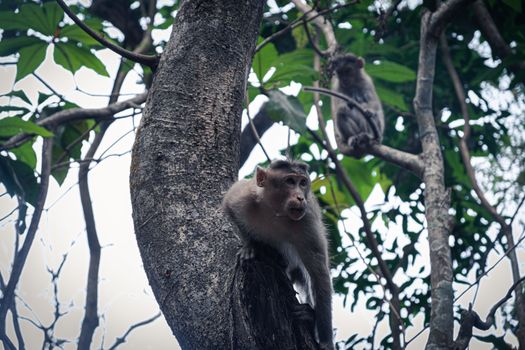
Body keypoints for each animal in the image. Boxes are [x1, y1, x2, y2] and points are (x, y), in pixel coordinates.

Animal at [223, 159, 334, 350]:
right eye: (290, 181)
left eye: (302, 183)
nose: (300, 197)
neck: (274, 211)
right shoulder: (243, 197)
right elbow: (228, 204)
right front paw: (250, 245)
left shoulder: (307, 221)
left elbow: (319, 274)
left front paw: (325, 341)